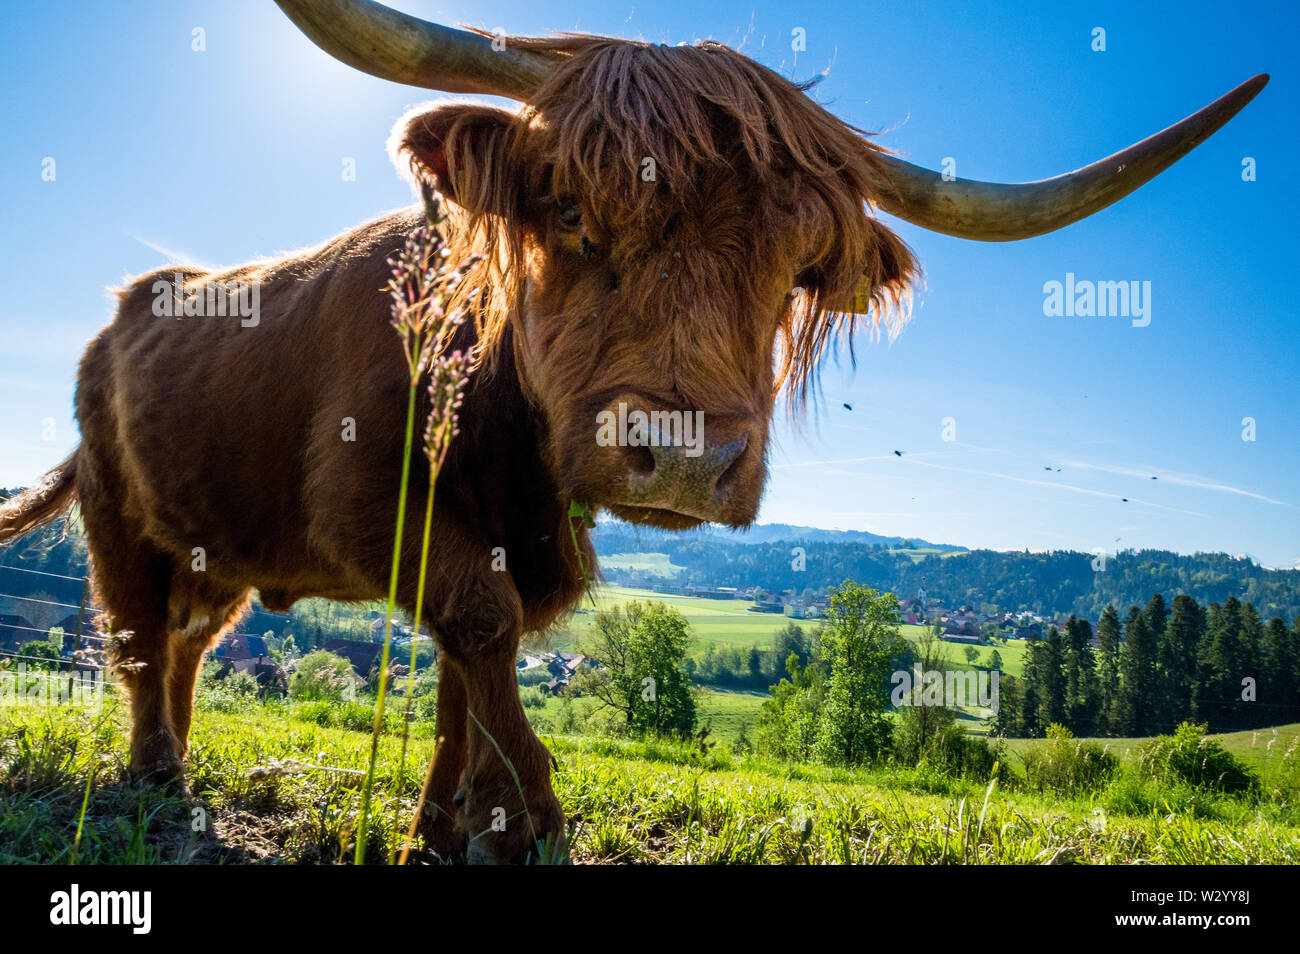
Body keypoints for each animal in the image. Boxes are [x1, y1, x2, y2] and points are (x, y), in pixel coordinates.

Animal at [0, 0, 1266, 863]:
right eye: (567, 210)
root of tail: (131, 304)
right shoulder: (368, 509)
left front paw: (448, 828)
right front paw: (526, 823)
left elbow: (473, 665)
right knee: (135, 637)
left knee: (185, 644)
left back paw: (176, 761)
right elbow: (477, 624)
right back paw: (156, 781)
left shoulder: (522, 542)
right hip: (121, 518)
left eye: (799, 269)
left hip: (217, 545)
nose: (688, 455)